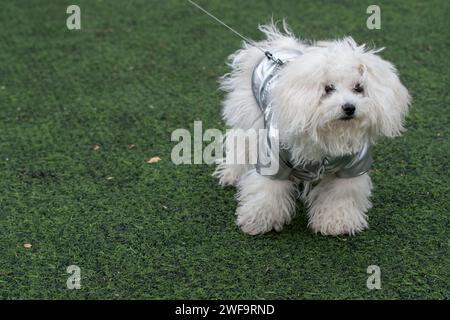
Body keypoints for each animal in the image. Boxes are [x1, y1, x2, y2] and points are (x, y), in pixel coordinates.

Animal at [214, 22, 412, 236]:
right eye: (328, 88)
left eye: (359, 88)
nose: (349, 107)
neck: (327, 134)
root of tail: (279, 46)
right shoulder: (273, 160)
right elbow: (267, 192)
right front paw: (259, 220)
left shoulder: (352, 167)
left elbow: (340, 196)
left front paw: (337, 222)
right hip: (250, 120)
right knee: (240, 143)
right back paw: (232, 174)